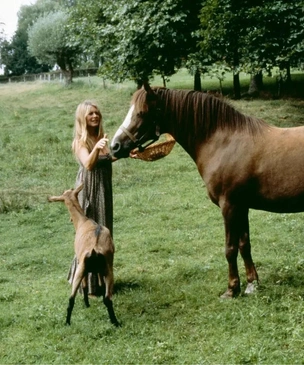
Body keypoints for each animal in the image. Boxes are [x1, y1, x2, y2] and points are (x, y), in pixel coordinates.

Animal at [47, 183, 120, 326]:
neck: (84, 221)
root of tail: (94, 250)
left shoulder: (81, 263)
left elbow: (86, 285)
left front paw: (87, 304)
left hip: (82, 269)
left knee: (72, 298)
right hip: (105, 269)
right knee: (104, 298)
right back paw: (115, 322)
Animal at [110, 83, 304, 298]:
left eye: (141, 113)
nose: (114, 146)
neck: (224, 142)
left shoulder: (229, 206)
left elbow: (230, 248)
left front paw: (231, 289)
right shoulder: (242, 207)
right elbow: (244, 245)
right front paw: (252, 284)